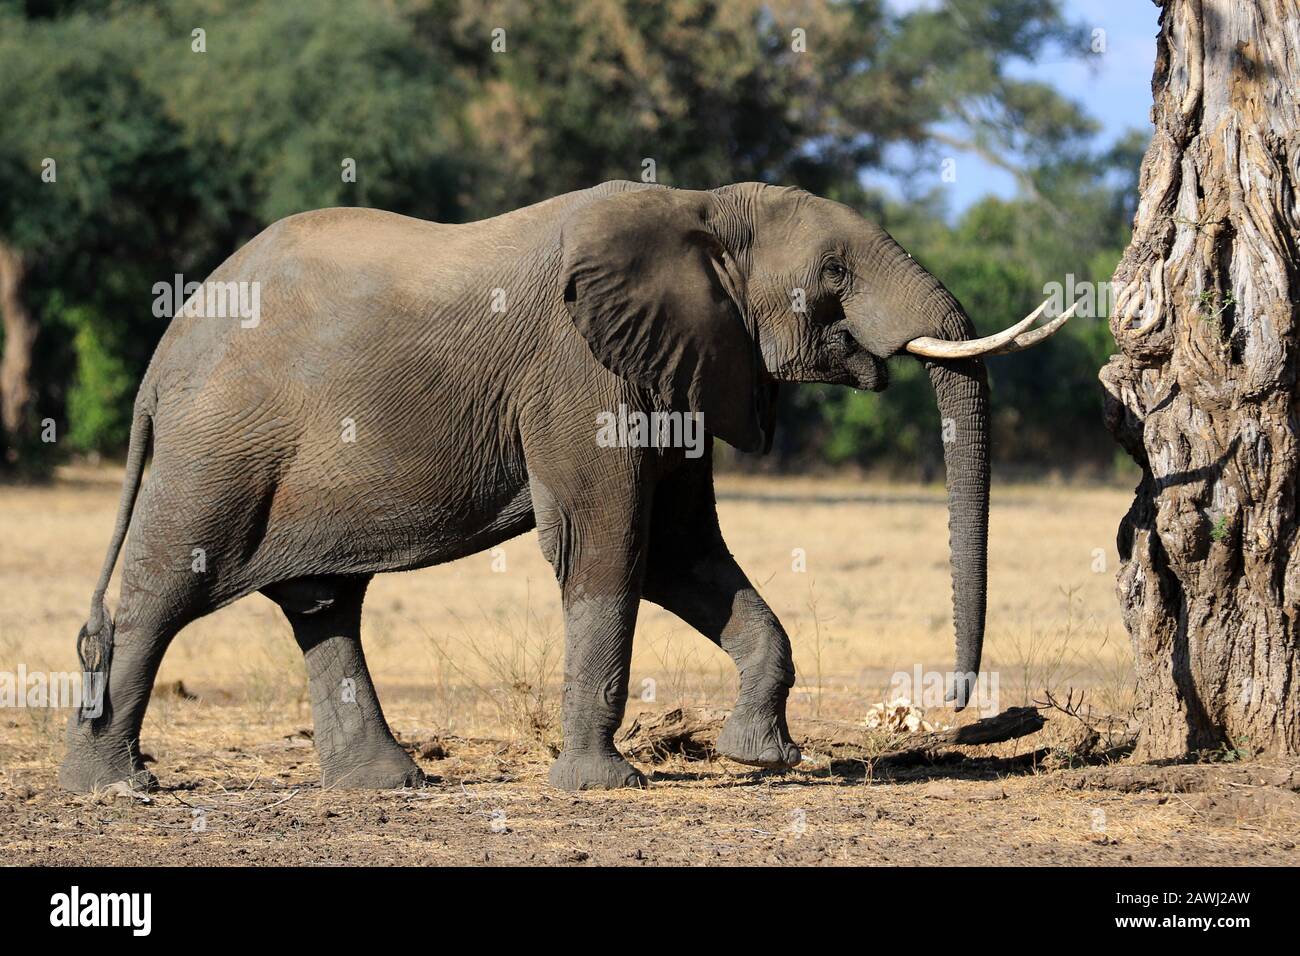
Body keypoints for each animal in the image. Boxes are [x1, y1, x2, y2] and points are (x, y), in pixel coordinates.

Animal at [58, 179, 1076, 790]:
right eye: (833, 271)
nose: (949, 703)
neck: (702, 209)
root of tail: (162, 357)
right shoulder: (580, 371)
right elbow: (607, 542)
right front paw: (605, 785)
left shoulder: (676, 367)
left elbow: (683, 553)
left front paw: (766, 759)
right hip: (219, 447)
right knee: (165, 592)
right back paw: (116, 786)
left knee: (324, 603)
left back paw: (390, 784)